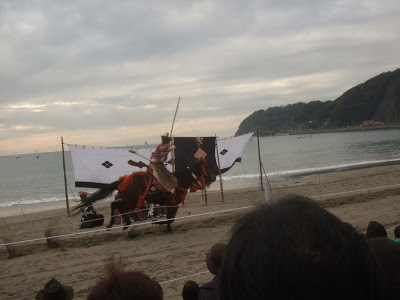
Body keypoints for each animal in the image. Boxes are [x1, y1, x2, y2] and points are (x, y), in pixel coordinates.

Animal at [76, 159, 219, 232]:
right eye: (207, 167)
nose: (214, 176)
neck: (179, 180)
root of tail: (123, 181)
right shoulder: (172, 203)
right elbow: (169, 219)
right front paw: (160, 223)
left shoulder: (173, 203)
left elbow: (170, 219)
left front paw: (166, 227)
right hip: (131, 201)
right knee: (119, 207)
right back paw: (122, 223)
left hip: (129, 200)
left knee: (115, 204)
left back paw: (119, 223)